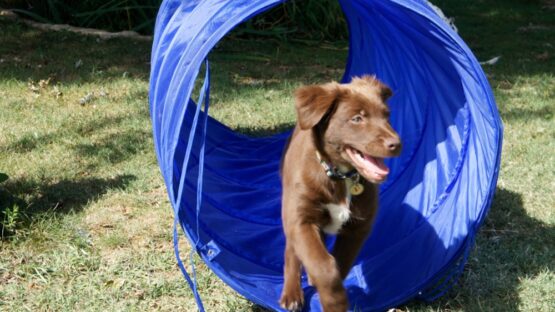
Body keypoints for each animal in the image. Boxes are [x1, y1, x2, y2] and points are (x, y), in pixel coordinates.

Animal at [280, 76, 402, 312]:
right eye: (357, 118)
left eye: (387, 115)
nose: (396, 144)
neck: (341, 176)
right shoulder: (301, 220)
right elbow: (324, 267)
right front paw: (334, 301)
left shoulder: (359, 228)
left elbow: (340, 263)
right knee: (291, 251)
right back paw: (291, 294)